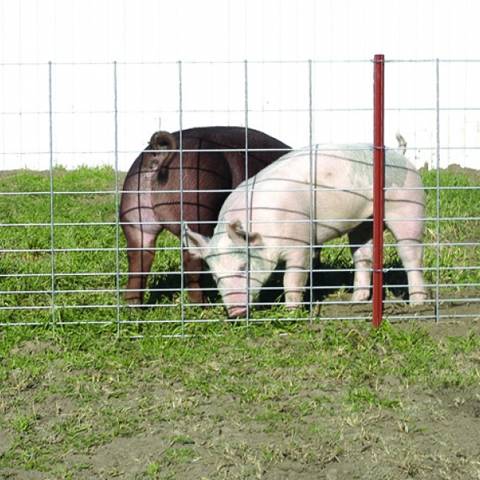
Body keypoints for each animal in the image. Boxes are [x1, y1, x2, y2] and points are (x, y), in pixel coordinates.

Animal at [122, 127, 290, 304]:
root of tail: (161, 151)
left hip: (134, 215)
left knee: (139, 257)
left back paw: (134, 306)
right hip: (195, 207)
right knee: (191, 261)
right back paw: (203, 304)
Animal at [185, 143, 428, 318]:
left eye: (243, 267)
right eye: (215, 275)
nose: (235, 313)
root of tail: (401, 156)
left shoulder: (300, 243)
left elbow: (291, 279)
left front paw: (291, 313)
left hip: (408, 205)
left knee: (411, 255)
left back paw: (416, 303)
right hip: (363, 222)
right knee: (362, 255)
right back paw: (355, 300)